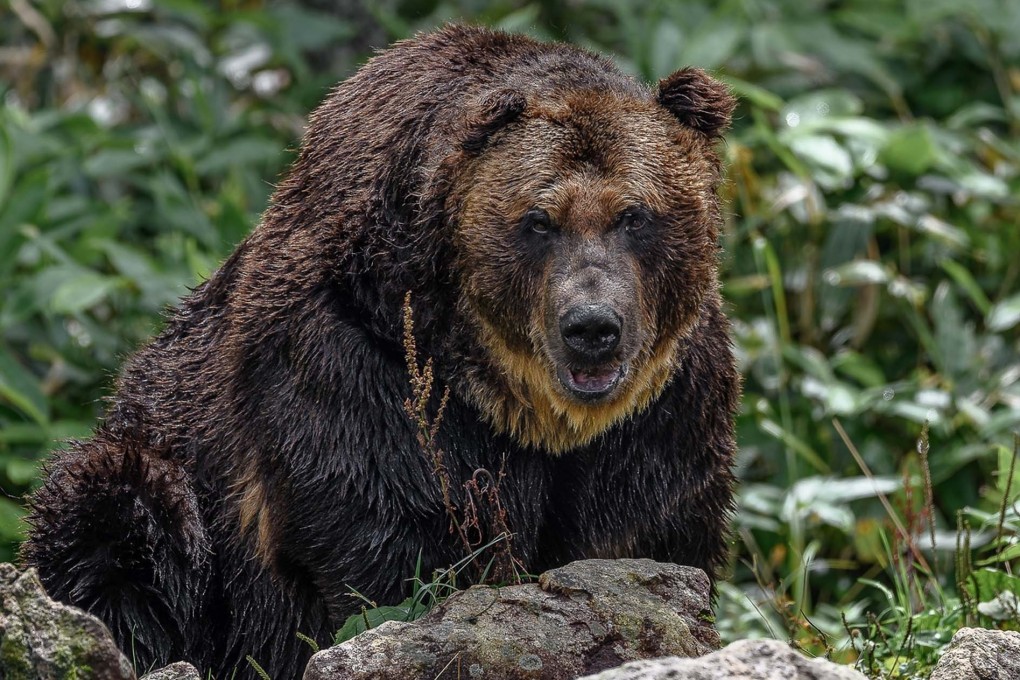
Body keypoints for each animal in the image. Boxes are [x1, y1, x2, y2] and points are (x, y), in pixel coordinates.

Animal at [21, 24, 739, 680]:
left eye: (633, 215)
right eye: (539, 221)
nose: (592, 326)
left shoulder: (664, 404)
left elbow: (644, 532)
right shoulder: (355, 356)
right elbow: (386, 539)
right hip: (172, 469)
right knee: (120, 511)